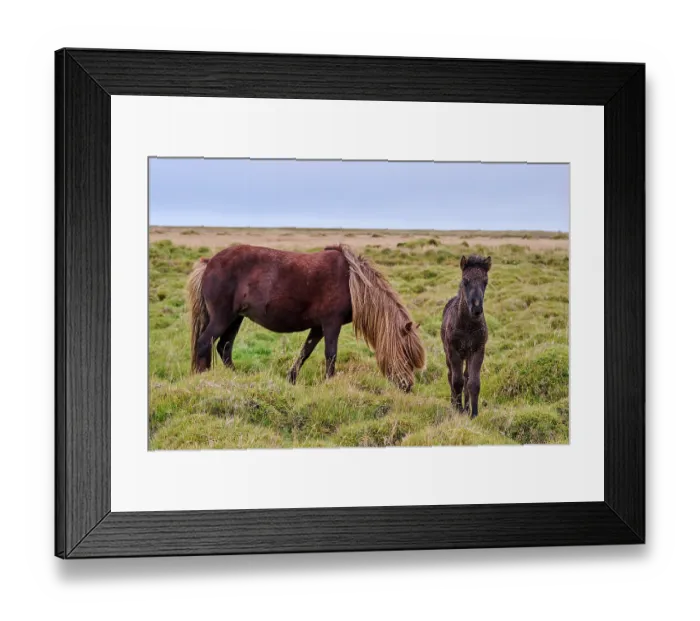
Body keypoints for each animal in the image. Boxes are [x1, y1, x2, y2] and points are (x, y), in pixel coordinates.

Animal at [186, 244, 426, 392]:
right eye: (406, 355)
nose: (407, 386)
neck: (351, 281)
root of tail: (209, 262)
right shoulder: (331, 324)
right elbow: (331, 355)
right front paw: (329, 383)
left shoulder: (318, 327)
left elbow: (305, 352)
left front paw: (291, 379)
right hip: (222, 317)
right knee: (205, 343)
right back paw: (202, 379)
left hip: (235, 319)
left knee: (224, 347)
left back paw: (237, 379)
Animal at [440, 255, 492, 416]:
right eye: (465, 280)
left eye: (485, 281)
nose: (477, 309)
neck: (468, 326)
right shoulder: (454, 351)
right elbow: (457, 382)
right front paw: (458, 410)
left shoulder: (477, 350)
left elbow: (473, 383)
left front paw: (473, 413)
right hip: (448, 354)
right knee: (451, 375)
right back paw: (454, 404)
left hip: (467, 356)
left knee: (466, 376)